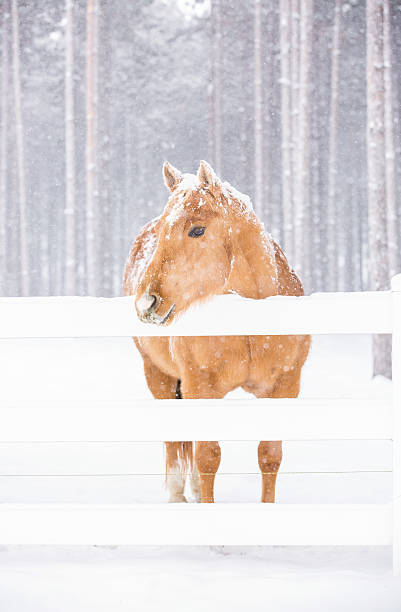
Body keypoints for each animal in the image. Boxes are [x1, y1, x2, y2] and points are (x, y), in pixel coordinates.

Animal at [122, 160, 310, 504]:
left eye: (197, 230)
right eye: (162, 231)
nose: (146, 303)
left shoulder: (284, 386)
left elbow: (269, 455)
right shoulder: (200, 386)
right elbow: (208, 456)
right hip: (159, 376)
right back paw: (178, 495)